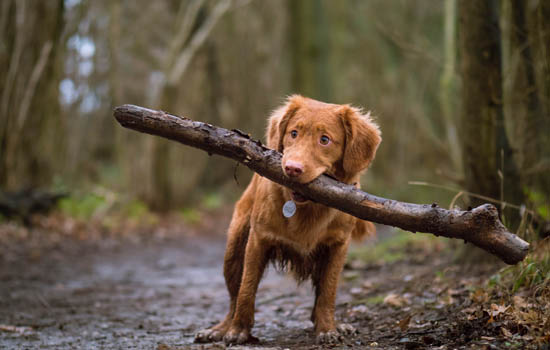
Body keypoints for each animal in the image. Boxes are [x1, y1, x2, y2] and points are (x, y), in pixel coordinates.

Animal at [196, 94, 382, 344]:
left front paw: (327, 329)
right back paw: (220, 328)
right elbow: (246, 289)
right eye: (294, 133)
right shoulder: (258, 239)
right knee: (234, 296)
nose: (292, 168)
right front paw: (238, 330)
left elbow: (328, 292)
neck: (307, 208)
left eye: (325, 140)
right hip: (234, 249)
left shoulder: (338, 246)